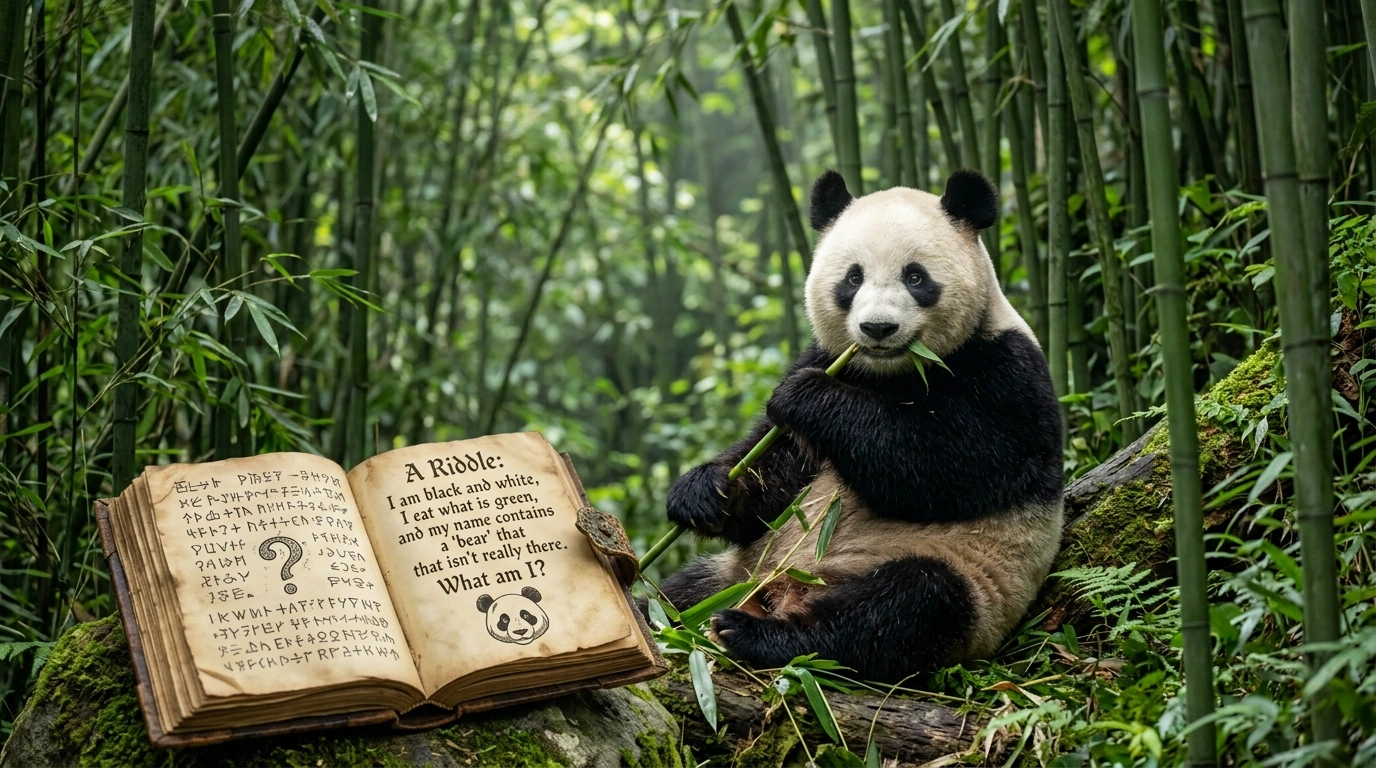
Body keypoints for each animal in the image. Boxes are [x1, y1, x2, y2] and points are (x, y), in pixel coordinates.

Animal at [659, 169, 1063, 683]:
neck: (891, 373)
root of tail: (783, 591)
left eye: (915, 276)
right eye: (853, 277)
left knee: (903, 607)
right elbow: (776, 474)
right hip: (738, 571)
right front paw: (704, 492)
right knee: (678, 592)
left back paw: (757, 634)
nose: (877, 328)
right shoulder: (829, 356)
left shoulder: (1009, 374)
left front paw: (807, 397)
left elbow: (946, 467)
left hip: (968, 579)